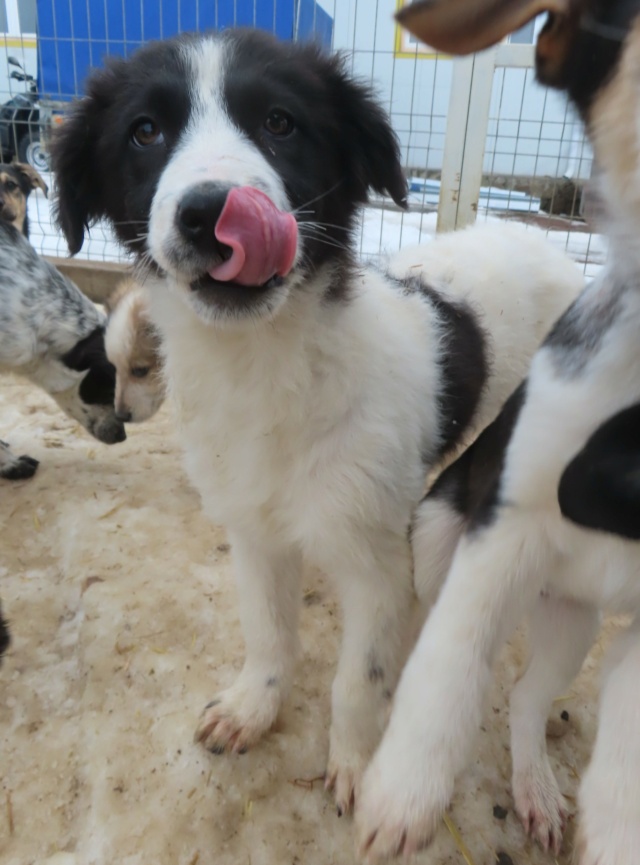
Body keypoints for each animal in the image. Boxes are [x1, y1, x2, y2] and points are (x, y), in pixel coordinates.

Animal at [358, 1, 640, 864]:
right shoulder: (505, 526)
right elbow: (446, 670)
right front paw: (403, 795)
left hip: (574, 620)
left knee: (523, 695)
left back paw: (537, 788)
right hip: (440, 538)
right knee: (427, 629)